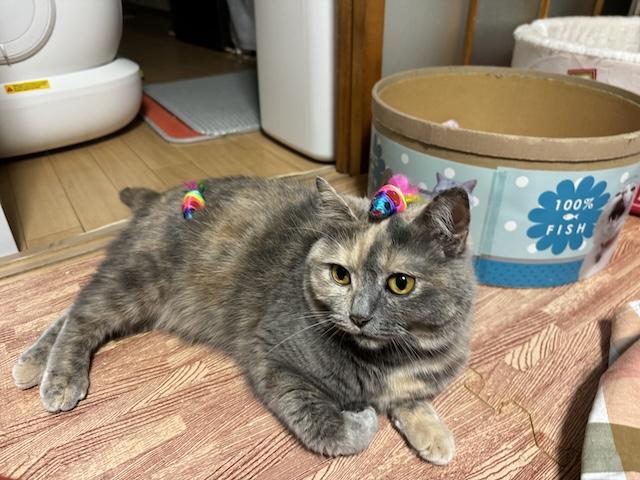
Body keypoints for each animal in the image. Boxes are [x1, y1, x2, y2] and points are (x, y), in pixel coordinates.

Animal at [12, 176, 477, 465]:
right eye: (340, 275)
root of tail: (165, 194)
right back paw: (58, 379)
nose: (357, 316)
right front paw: (362, 421)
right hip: (140, 280)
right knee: (83, 312)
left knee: (73, 307)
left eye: (401, 283)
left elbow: (413, 397)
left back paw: (31, 363)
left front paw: (435, 434)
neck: (386, 358)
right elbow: (327, 426)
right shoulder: (272, 356)